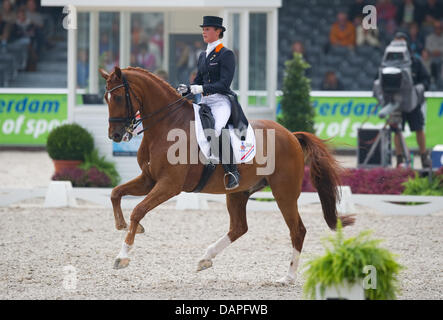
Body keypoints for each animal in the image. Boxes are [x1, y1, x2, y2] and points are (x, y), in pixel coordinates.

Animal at [99, 66, 356, 284]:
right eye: (105, 98)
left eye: (119, 97)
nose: (115, 135)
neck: (167, 125)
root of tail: (291, 135)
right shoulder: (149, 179)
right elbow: (115, 194)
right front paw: (124, 226)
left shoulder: (169, 184)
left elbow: (138, 209)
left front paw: (122, 256)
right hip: (238, 192)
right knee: (239, 227)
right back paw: (205, 258)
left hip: (284, 193)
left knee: (297, 230)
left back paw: (288, 277)